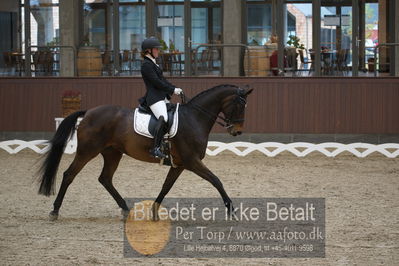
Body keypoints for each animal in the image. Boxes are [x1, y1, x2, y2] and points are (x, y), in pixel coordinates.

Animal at [36, 83, 252, 220]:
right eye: (239, 105)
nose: (237, 131)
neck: (194, 118)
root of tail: (88, 112)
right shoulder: (191, 161)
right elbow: (216, 180)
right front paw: (232, 211)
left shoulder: (180, 165)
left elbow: (166, 187)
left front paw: (154, 212)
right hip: (87, 151)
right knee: (69, 174)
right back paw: (55, 211)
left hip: (112, 153)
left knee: (105, 179)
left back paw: (125, 209)